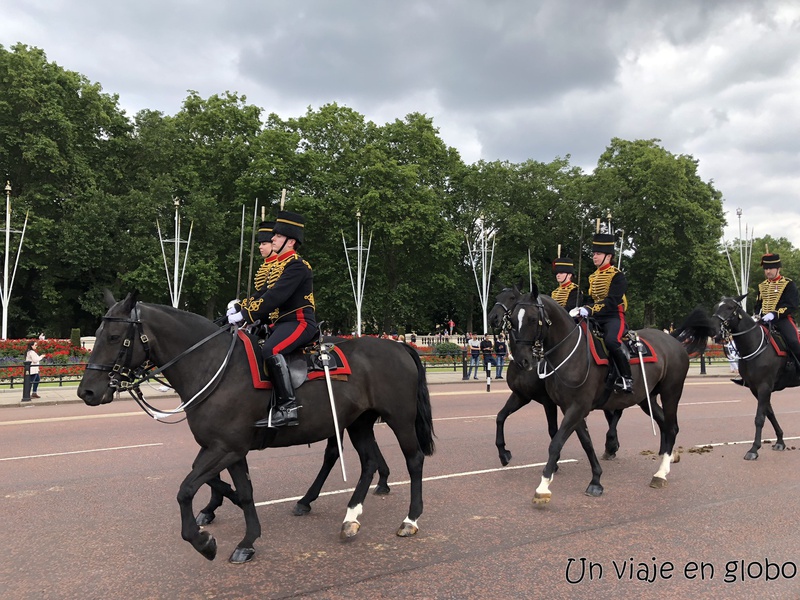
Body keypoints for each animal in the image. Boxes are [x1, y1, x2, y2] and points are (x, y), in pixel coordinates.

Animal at [78, 292, 434, 564]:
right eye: (96, 336)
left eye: (114, 337)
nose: (87, 392)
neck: (212, 366)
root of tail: (398, 346)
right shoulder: (226, 448)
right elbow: (239, 490)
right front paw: (243, 534)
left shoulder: (227, 447)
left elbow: (186, 489)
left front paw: (204, 541)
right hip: (358, 422)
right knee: (367, 462)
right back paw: (349, 518)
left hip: (399, 419)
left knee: (413, 460)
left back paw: (410, 519)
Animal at [488, 284, 624, 466]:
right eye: (497, 297)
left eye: (511, 298)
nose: (492, 317)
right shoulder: (521, 396)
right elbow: (500, 417)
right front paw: (503, 453)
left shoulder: (548, 401)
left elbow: (553, 429)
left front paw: (555, 460)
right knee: (611, 413)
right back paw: (611, 446)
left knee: (616, 412)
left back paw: (611, 443)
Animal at [506, 288, 712, 504]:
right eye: (511, 319)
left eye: (532, 319)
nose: (522, 360)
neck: (569, 353)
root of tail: (672, 339)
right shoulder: (569, 407)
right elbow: (586, 443)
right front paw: (596, 480)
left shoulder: (578, 406)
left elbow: (556, 443)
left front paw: (543, 486)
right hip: (646, 399)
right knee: (666, 424)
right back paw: (668, 457)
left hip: (671, 391)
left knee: (671, 426)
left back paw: (660, 473)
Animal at [712, 296, 800, 460]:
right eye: (715, 307)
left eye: (730, 308)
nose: (714, 331)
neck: (754, 345)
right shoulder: (756, 388)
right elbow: (769, 413)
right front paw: (780, 440)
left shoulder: (764, 386)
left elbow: (759, 417)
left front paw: (754, 449)